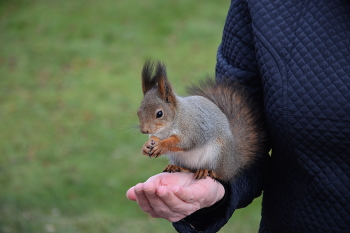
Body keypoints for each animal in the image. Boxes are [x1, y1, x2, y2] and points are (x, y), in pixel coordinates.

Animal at [136, 60, 268, 182]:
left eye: (159, 114)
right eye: (138, 112)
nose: (144, 131)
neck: (168, 126)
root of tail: (232, 164)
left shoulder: (191, 128)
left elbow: (183, 142)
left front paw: (162, 145)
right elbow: (154, 138)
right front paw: (146, 146)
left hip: (218, 154)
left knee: (220, 175)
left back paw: (207, 171)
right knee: (191, 169)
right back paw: (177, 167)